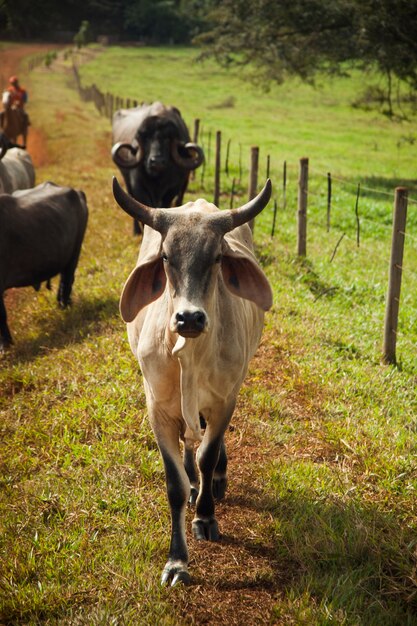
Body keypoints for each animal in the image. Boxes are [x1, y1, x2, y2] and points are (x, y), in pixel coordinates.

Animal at [109, 102, 202, 234]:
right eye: (147, 139)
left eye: (167, 139)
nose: (156, 162)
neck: (157, 180)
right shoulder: (139, 188)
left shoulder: (172, 189)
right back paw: (136, 231)